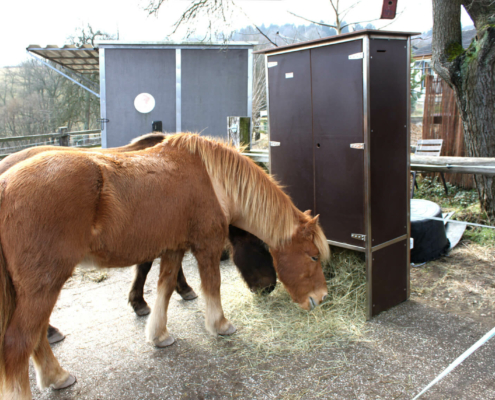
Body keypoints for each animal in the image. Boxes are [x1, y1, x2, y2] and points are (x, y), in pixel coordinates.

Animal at [0, 133, 330, 398]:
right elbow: (212, 286)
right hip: (45, 283)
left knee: (36, 336)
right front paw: (220, 325)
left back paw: (57, 376)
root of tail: (5, 183)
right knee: (19, 343)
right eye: (313, 256)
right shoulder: (206, 246)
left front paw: (159, 335)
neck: (213, 181)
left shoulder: (173, 249)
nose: (321, 297)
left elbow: (166, 287)